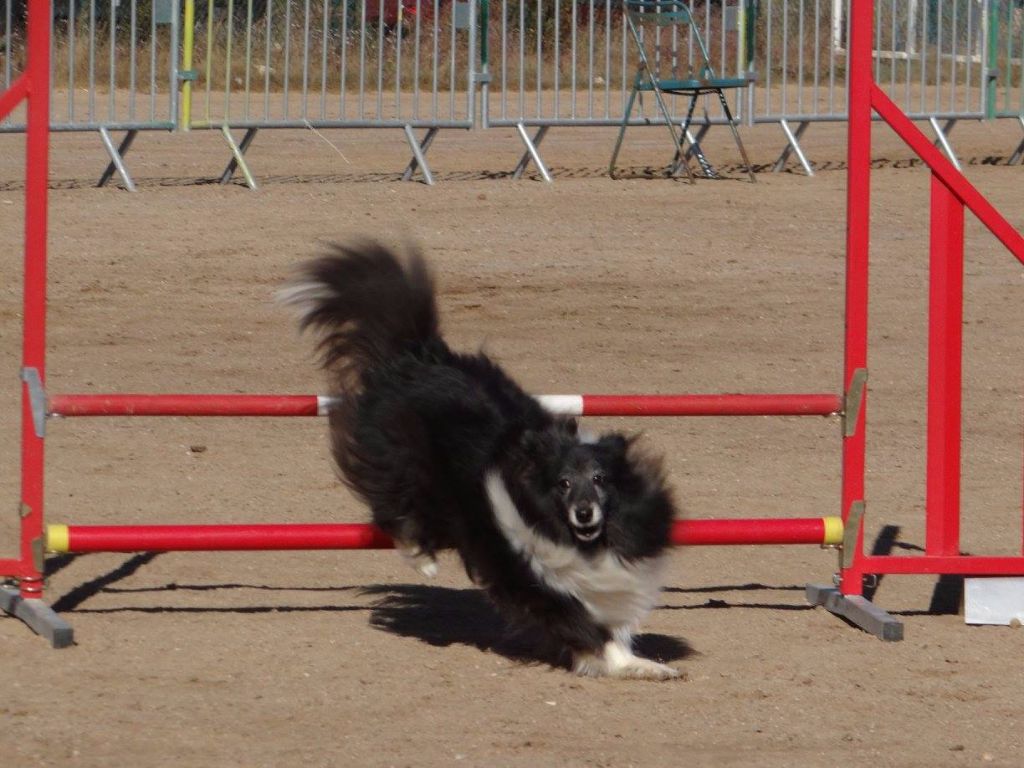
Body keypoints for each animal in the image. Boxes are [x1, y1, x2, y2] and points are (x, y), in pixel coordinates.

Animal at [282, 240, 679, 679]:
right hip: (406, 465)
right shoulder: (531, 574)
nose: (584, 513)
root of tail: (418, 354)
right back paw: (422, 559)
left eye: (600, 479)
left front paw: (643, 663)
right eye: (562, 483)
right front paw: (620, 662)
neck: (576, 539)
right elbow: (582, 623)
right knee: (395, 509)